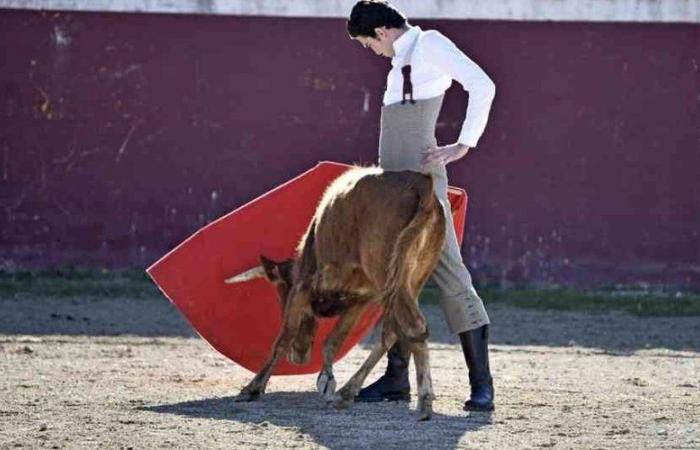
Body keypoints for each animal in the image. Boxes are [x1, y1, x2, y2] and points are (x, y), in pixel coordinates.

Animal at [226, 166, 442, 422]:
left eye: (281, 296)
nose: (299, 357)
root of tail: (422, 185)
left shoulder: (302, 288)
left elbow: (282, 339)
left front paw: (252, 389)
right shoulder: (360, 299)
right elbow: (333, 340)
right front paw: (326, 380)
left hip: (391, 276)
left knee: (412, 326)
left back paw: (424, 403)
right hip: (412, 280)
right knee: (392, 333)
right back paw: (347, 392)